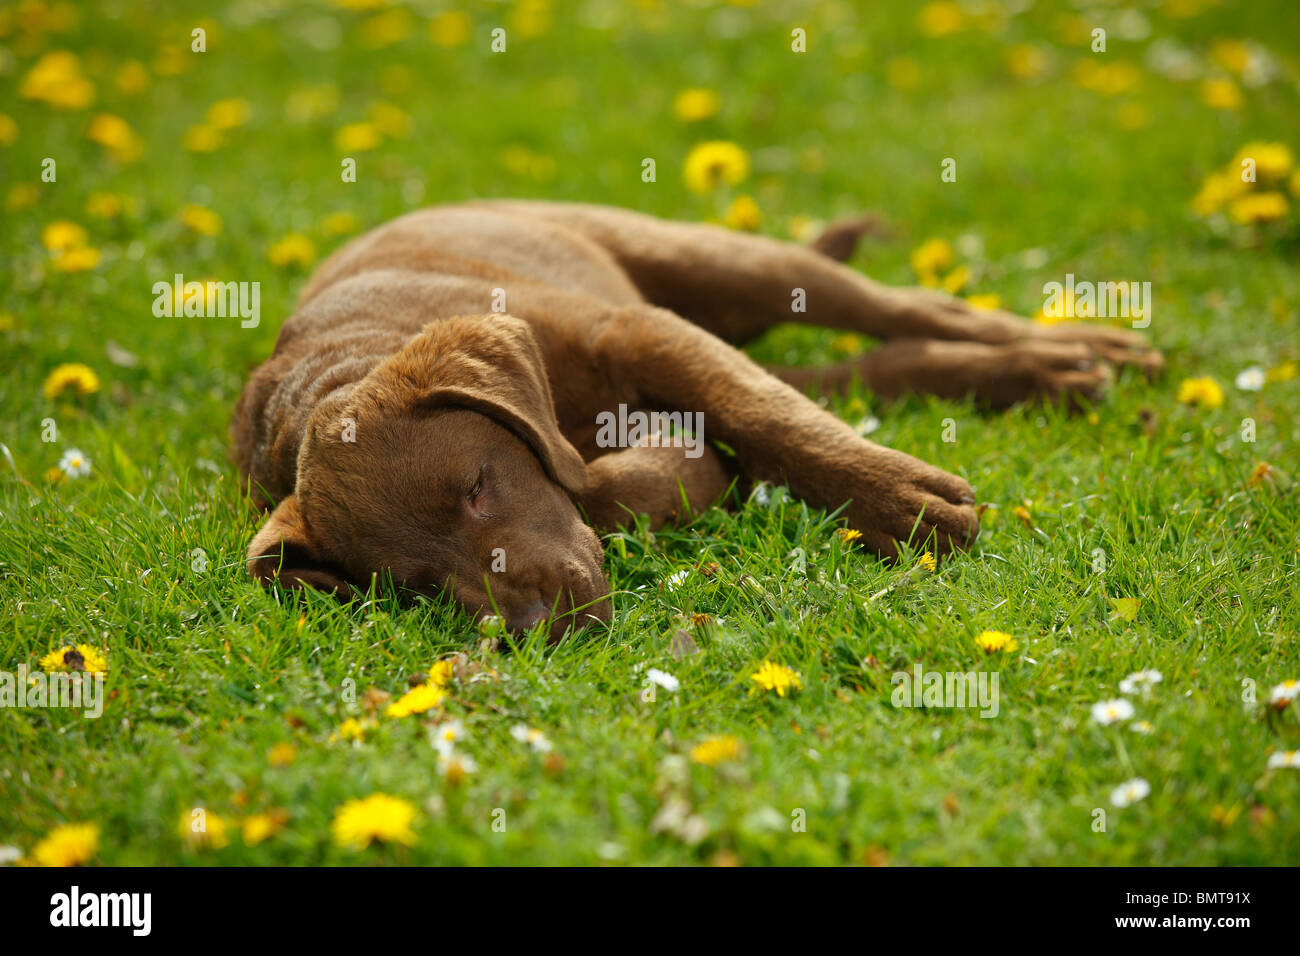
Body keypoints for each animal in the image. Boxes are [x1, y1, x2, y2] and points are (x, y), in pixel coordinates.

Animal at [233, 199, 1159, 639]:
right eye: (412, 586)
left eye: (477, 485)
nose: (532, 633)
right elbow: (609, 481)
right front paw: (691, 468)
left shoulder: (637, 331)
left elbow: (764, 418)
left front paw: (902, 504)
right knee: (874, 364)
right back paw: (1051, 375)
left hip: (720, 261)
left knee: (915, 310)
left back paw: (1088, 350)